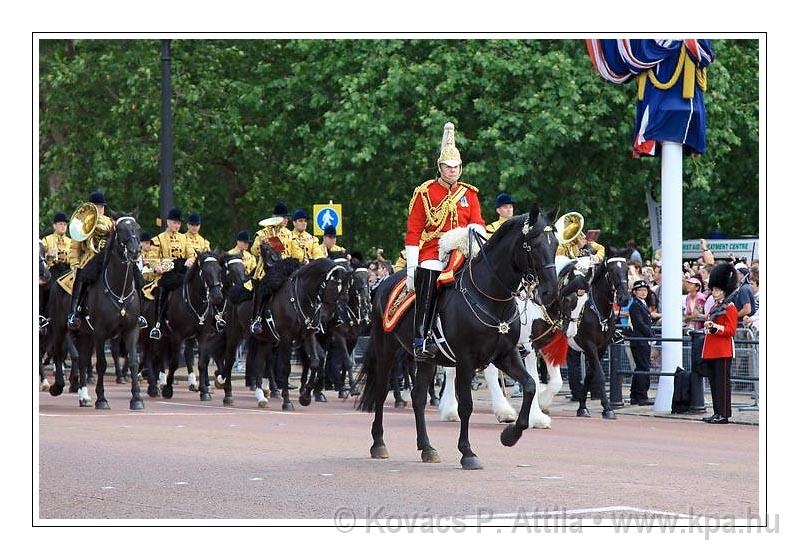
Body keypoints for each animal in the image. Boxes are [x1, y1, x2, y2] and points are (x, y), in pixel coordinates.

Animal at [71, 217, 143, 410]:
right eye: (120, 229)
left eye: (137, 228)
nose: (134, 252)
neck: (120, 289)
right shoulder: (100, 333)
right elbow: (101, 364)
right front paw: (101, 399)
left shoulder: (132, 330)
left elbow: (133, 362)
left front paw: (136, 399)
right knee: (78, 359)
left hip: (86, 335)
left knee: (82, 360)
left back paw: (84, 397)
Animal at [155, 252, 225, 400]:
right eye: (205, 272)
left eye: (219, 270)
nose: (217, 297)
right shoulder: (177, 335)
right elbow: (174, 362)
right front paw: (168, 389)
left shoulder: (203, 336)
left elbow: (202, 363)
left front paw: (204, 391)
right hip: (160, 334)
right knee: (159, 355)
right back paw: (160, 384)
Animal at [360, 205, 560, 468]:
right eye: (532, 245)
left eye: (555, 244)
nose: (550, 292)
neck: (491, 296)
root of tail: (384, 283)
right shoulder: (466, 360)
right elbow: (466, 405)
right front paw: (468, 452)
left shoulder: (506, 354)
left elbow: (529, 385)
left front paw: (511, 435)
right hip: (386, 350)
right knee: (381, 392)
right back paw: (378, 443)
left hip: (426, 359)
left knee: (418, 397)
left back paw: (427, 448)